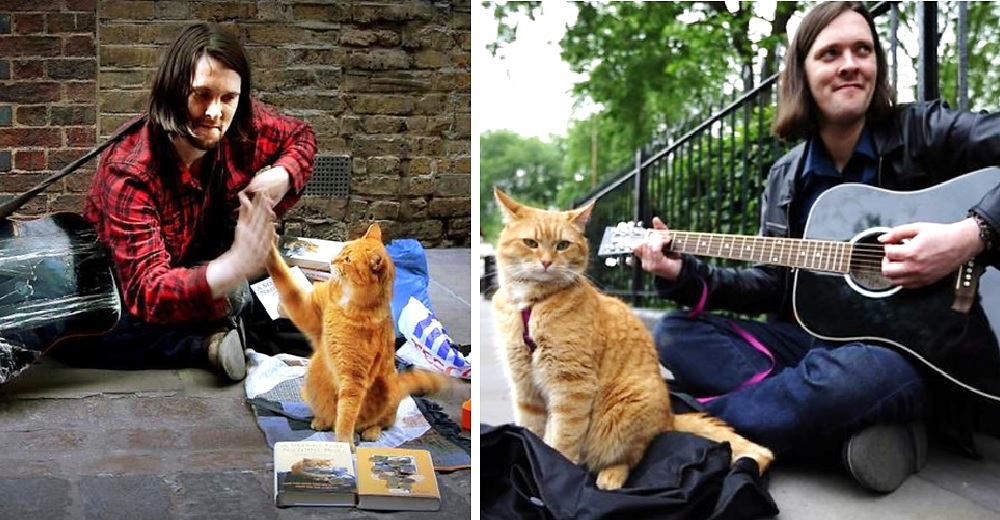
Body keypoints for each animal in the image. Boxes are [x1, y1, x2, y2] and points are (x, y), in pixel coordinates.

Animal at [270, 223, 450, 446]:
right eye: (341, 250)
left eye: (347, 259)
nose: (332, 261)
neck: (347, 301)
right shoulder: (307, 312)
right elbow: (285, 281)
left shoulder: (354, 378)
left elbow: (347, 415)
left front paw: (344, 443)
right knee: (330, 416)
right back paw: (321, 420)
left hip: (388, 397)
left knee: (381, 423)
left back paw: (370, 431)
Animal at [490, 189, 772, 490]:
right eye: (530, 243)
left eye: (563, 245)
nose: (545, 262)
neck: (531, 304)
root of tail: (669, 417)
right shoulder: (525, 389)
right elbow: (531, 430)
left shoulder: (571, 388)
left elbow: (561, 441)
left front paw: (551, 472)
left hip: (623, 411)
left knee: (630, 456)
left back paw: (610, 476)